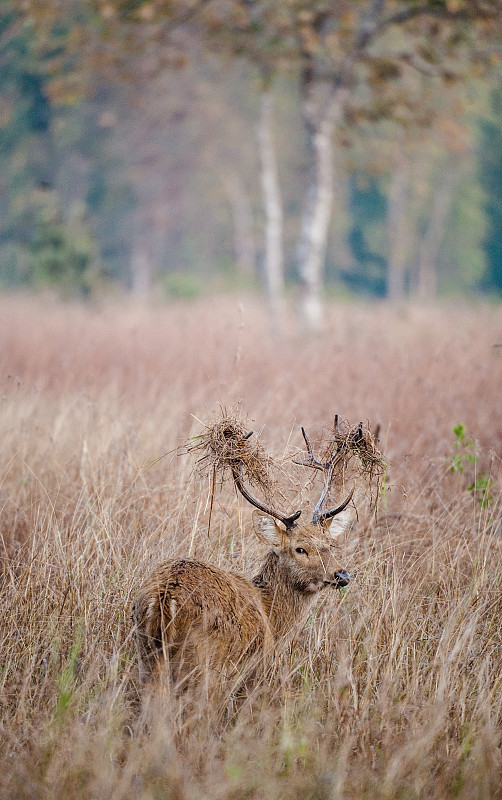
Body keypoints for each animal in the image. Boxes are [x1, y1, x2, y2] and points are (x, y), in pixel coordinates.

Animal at [133, 424, 360, 692]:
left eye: (330, 545)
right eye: (300, 549)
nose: (341, 575)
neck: (271, 616)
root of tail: (164, 599)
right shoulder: (252, 672)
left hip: (148, 658)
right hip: (204, 664)